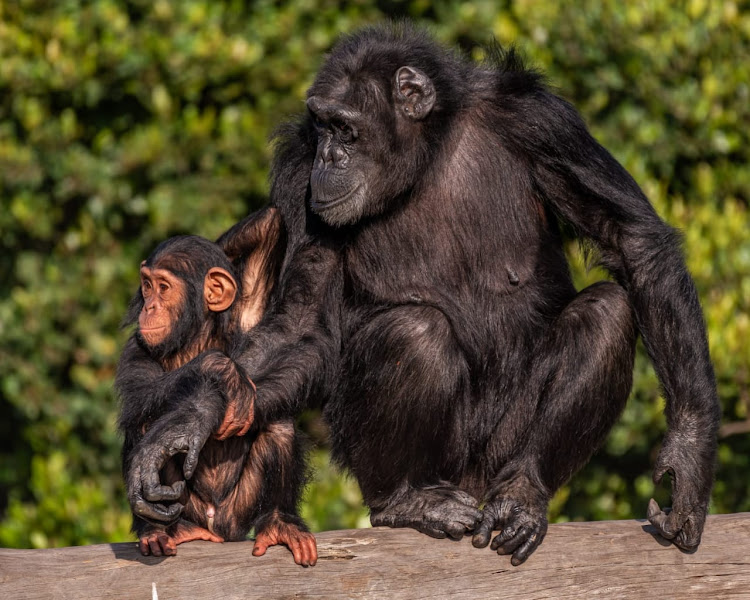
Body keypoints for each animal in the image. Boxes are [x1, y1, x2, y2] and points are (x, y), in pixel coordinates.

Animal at [116, 207, 318, 568]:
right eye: (147, 285)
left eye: (163, 287)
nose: (149, 306)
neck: (194, 336)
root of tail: (215, 525)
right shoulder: (137, 345)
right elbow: (140, 392)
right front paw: (219, 370)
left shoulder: (249, 312)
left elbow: (269, 226)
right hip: (184, 506)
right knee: (143, 420)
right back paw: (158, 531)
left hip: (239, 512)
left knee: (277, 423)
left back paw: (280, 523)